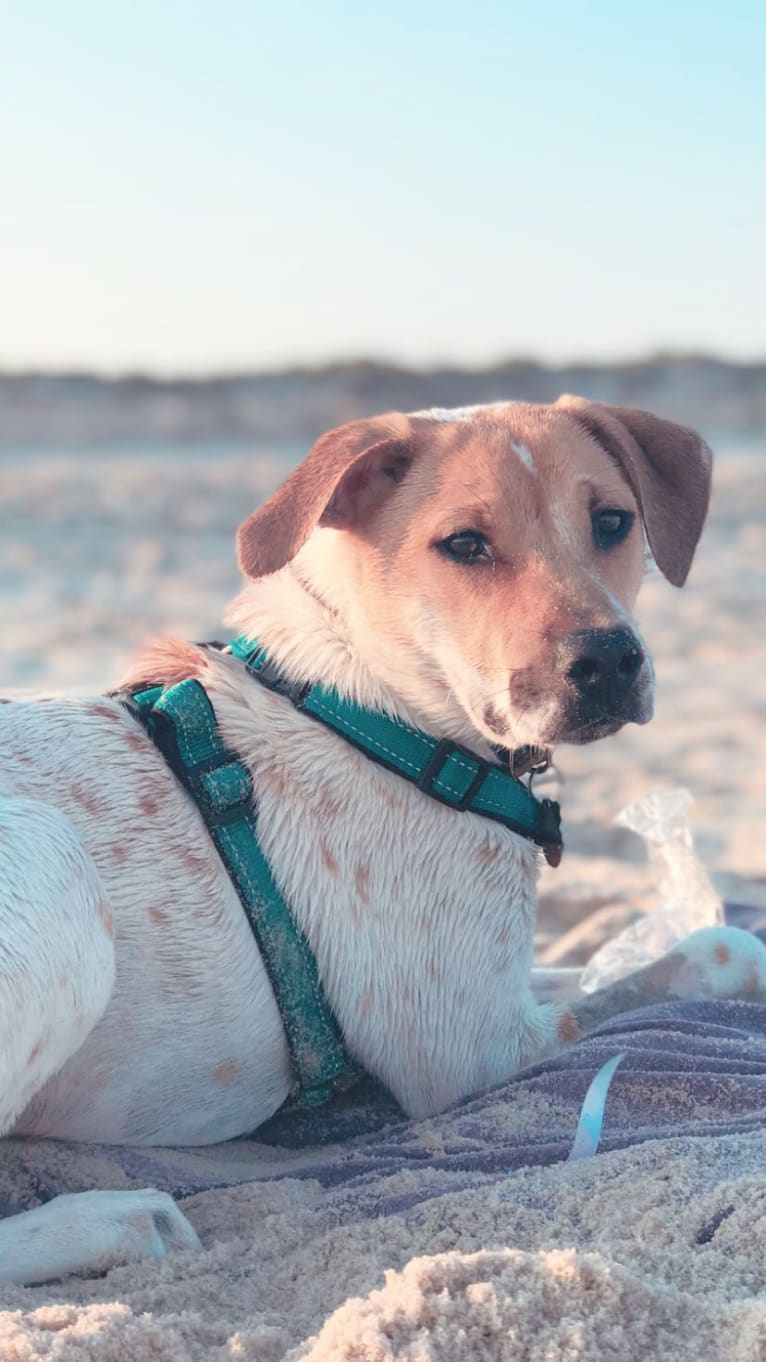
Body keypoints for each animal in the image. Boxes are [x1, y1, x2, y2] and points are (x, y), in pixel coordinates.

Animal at [1, 397, 763, 1285]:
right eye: (464, 544)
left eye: (612, 521)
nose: (609, 660)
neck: (384, 714)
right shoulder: (474, 1049)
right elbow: (681, 968)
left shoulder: (496, 978)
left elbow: (642, 961)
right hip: (55, 869)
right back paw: (109, 1220)